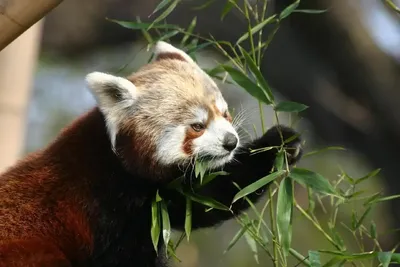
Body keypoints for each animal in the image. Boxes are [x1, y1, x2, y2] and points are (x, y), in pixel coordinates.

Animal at [0, 40, 302, 266]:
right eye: (197, 126)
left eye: (224, 113)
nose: (230, 141)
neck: (117, 161)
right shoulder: (103, 204)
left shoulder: (161, 198)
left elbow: (210, 198)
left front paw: (280, 143)